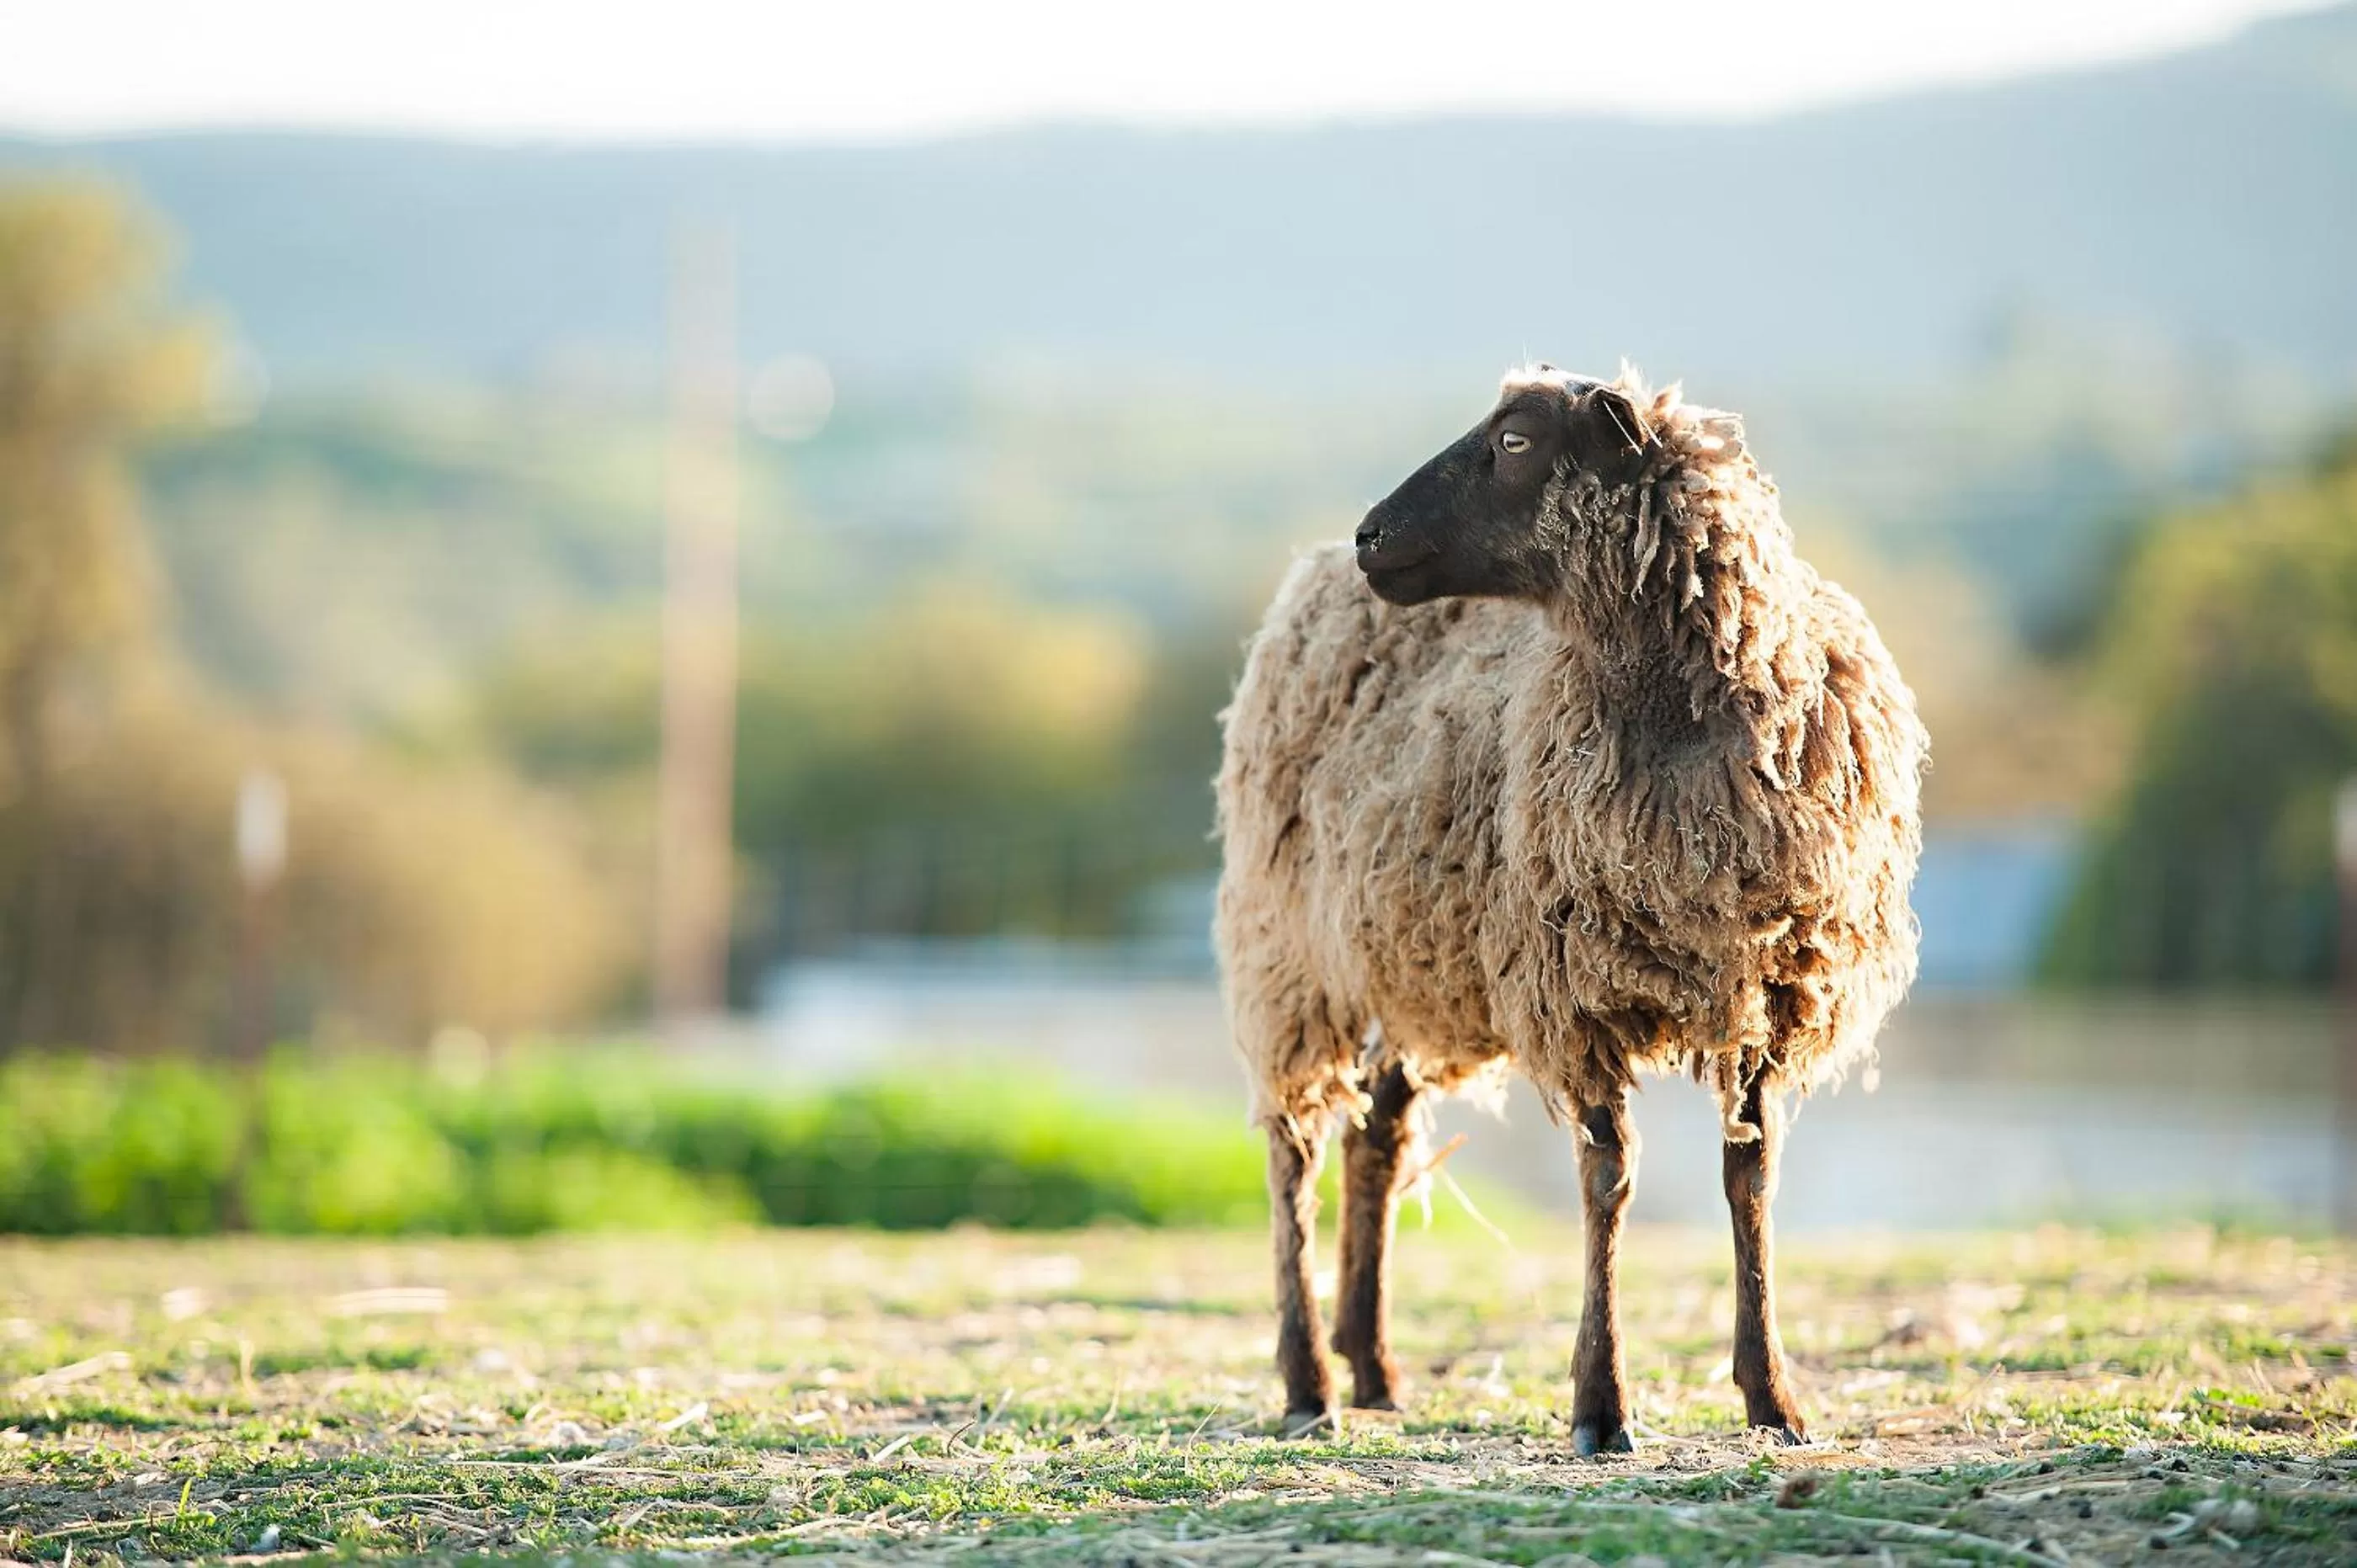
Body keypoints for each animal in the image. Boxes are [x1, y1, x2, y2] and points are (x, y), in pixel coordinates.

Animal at [1214, 365, 1926, 1450]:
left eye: (1515, 439)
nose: (1371, 535)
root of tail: (1305, 581)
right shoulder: (1574, 984)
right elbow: (1609, 1180)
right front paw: (1601, 1405)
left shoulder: (1770, 991)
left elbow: (1751, 1181)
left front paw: (1773, 1397)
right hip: (1288, 956)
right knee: (1292, 1155)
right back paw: (1308, 1383)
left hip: (1410, 957)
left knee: (1375, 1139)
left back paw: (1371, 1364)